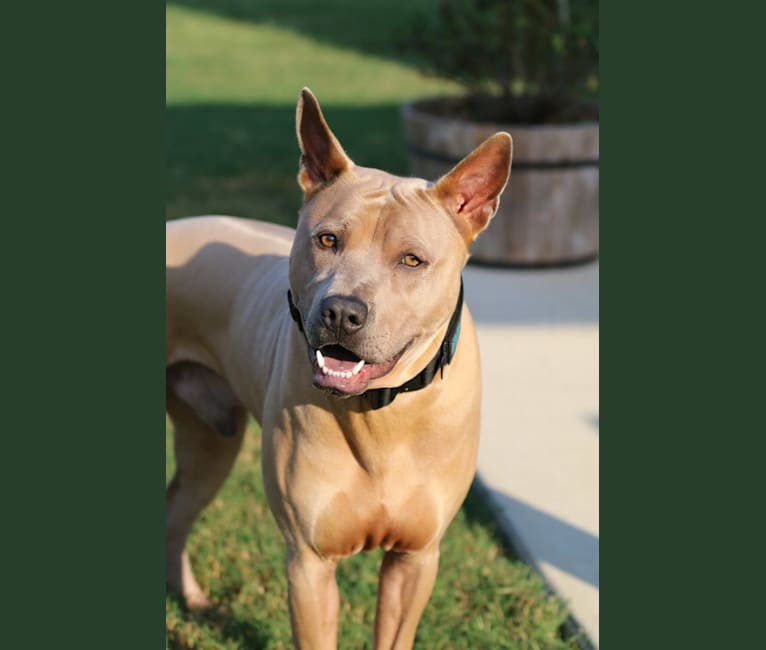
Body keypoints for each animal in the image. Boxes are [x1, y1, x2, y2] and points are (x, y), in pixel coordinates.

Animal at [165, 87, 512, 648]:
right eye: (327, 240)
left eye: (411, 261)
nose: (342, 313)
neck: (383, 415)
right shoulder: (309, 564)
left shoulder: (414, 560)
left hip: (211, 441)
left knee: (177, 508)